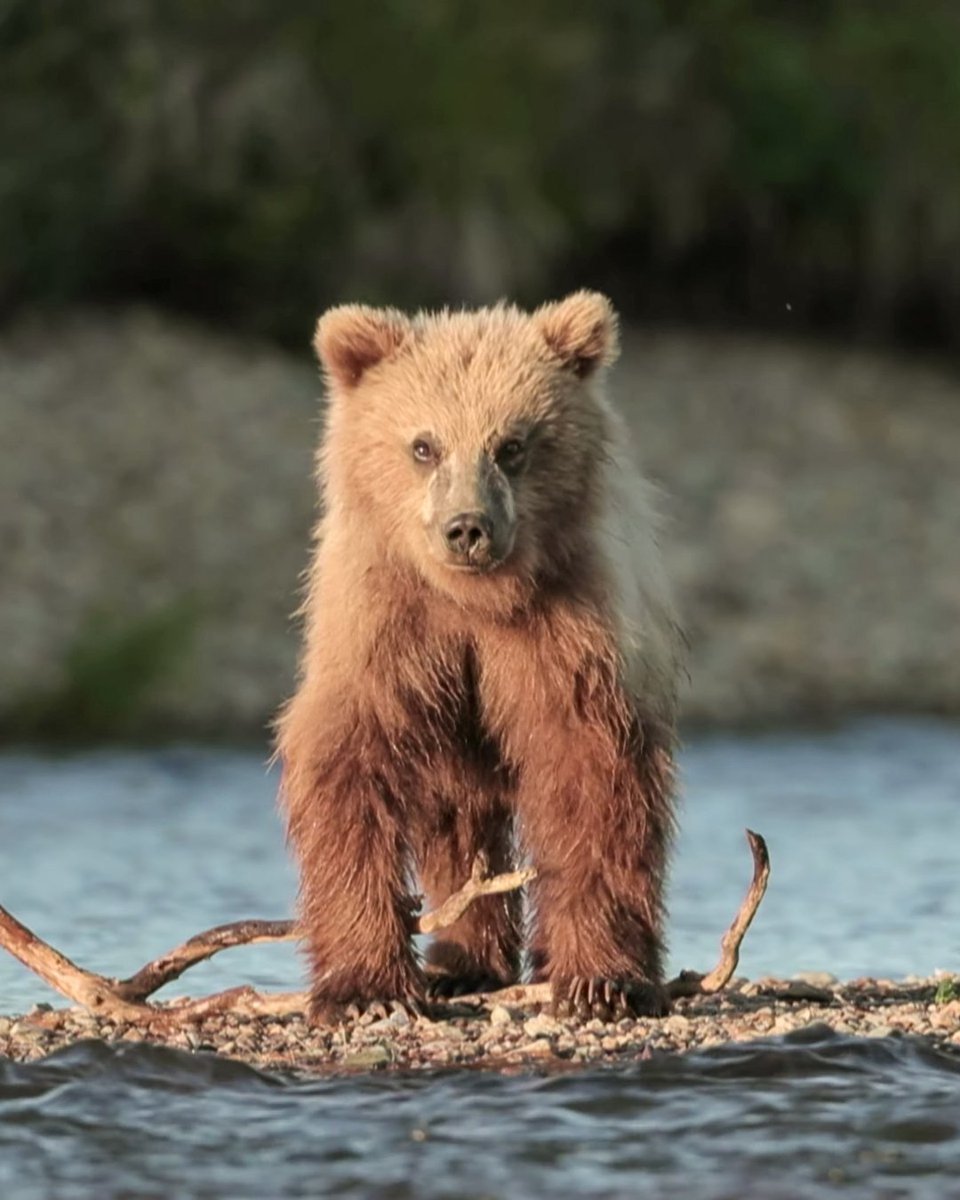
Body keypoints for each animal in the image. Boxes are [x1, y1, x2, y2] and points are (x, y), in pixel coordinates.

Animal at [276, 290, 681, 1022]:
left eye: (512, 445)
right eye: (424, 444)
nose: (467, 528)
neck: (474, 604)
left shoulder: (567, 634)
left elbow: (593, 778)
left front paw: (603, 981)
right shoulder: (387, 634)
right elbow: (349, 769)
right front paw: (366, 988)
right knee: (458, 826)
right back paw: (460, 964)